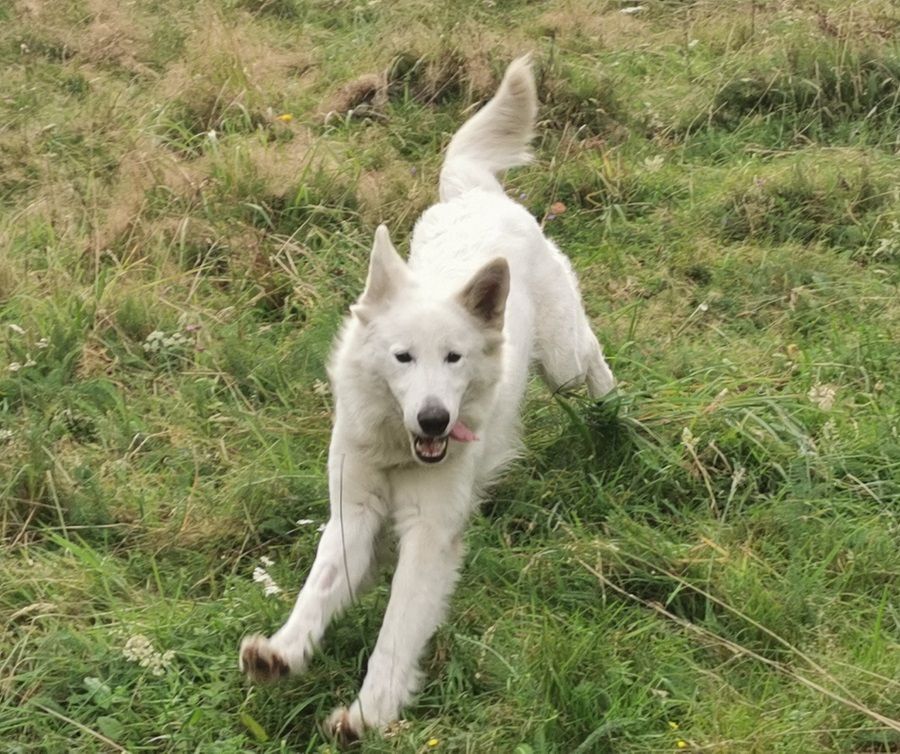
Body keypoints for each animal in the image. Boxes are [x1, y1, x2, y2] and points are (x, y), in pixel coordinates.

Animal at [239, 57, 616, 740]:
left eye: (454, 358)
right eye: (403, 358)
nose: (435, 419)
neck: (397, 449)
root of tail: (478, 196)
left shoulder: (428, 534)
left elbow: (396, 630)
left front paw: (369, 713)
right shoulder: (353, 514)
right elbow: (318, 589)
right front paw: (281, 653)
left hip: (568, 364)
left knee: (597, 371)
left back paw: (622, 427)